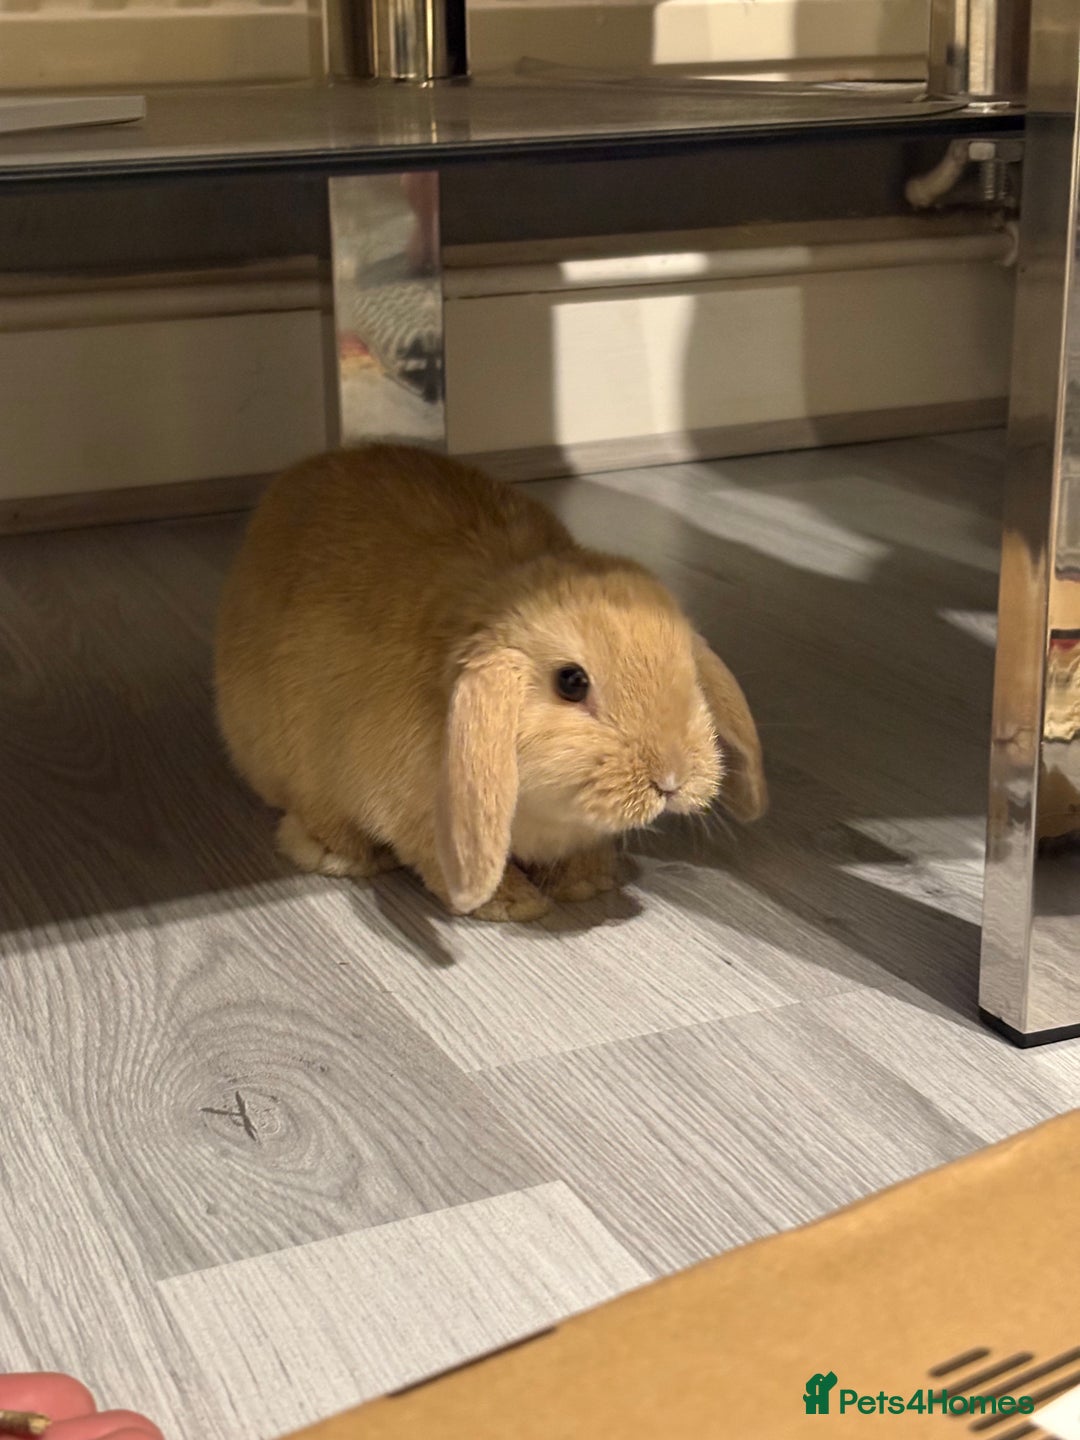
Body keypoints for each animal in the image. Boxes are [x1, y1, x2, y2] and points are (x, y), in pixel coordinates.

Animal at [214, 445, 766, 922]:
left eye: (690, 674)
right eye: (571, 682)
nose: (671, 780)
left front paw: (586, 882)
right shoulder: (418, 821)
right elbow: (441, 864)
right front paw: (514, 905)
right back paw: (343, 857)